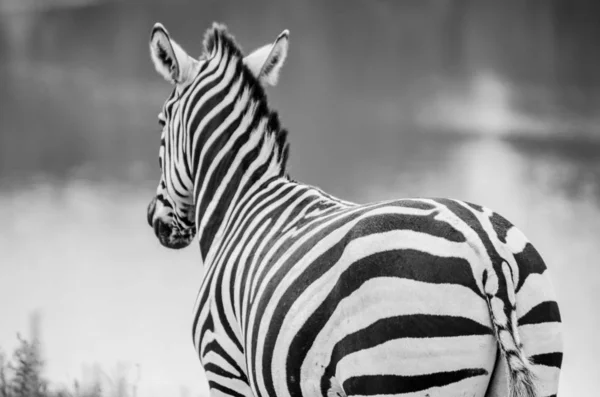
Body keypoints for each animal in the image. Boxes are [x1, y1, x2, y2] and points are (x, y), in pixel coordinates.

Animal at [145, 22, 564, 396]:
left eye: (162, 122)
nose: (156, 220)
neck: (242, 199)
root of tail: (487, 253)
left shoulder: (224, 368)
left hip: (393, 370)